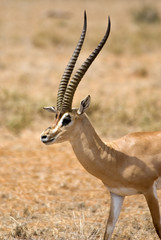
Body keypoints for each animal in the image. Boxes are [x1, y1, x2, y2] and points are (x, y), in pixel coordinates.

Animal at [41, 11, 161, 240]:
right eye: (55, 116)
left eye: (67, 119)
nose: (45, 136)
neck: (117, 156)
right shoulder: (117, 195)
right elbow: (108, 231)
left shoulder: (150, 190)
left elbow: (158, 228)